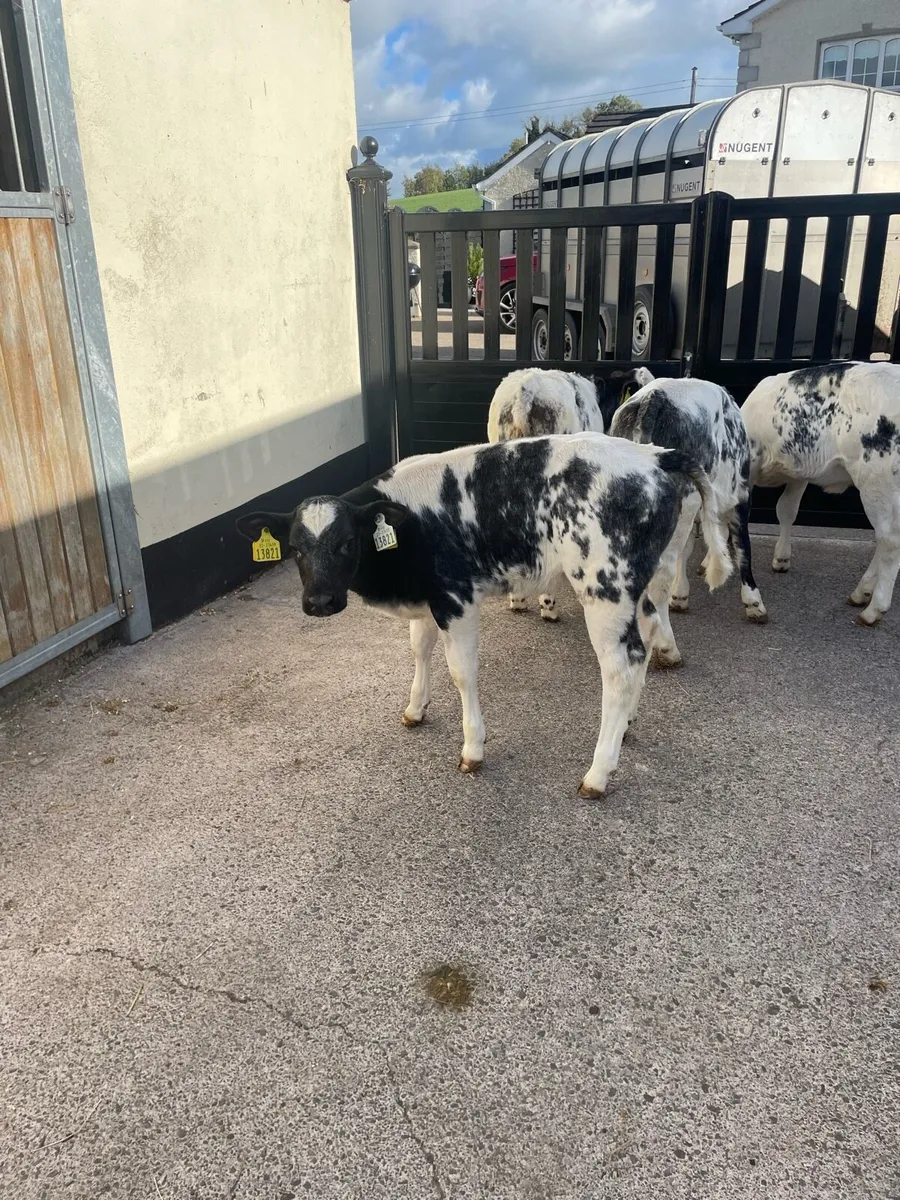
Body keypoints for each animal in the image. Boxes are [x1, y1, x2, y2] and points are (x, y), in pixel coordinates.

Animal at [236, 434, 731, 798]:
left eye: (346, 543)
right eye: (296, 549)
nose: (319, 601)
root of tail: (656, 455)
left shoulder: (455, 598)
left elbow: (462, 671)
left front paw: (472, 747)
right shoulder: (427, 597)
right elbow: (419, 648)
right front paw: (415, 708)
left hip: (603, 587)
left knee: (622, 665)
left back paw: (598, 772)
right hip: (648, 578)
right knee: (647, 636)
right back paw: (626, 725)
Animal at [610, 377, 767, 668]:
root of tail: (654, 396)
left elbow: (690, 549)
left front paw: (681, 594)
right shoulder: (741, 497)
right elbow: (743, 547)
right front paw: (753, 602)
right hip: (685, 503)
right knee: (660, 578)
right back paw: (667, 648)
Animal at [742, 361, 900, 626]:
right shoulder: (799, 473)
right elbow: (787, 510)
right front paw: (782, 559)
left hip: (877, 479)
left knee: (889, 540)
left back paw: (873, 609)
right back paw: (862, 592)